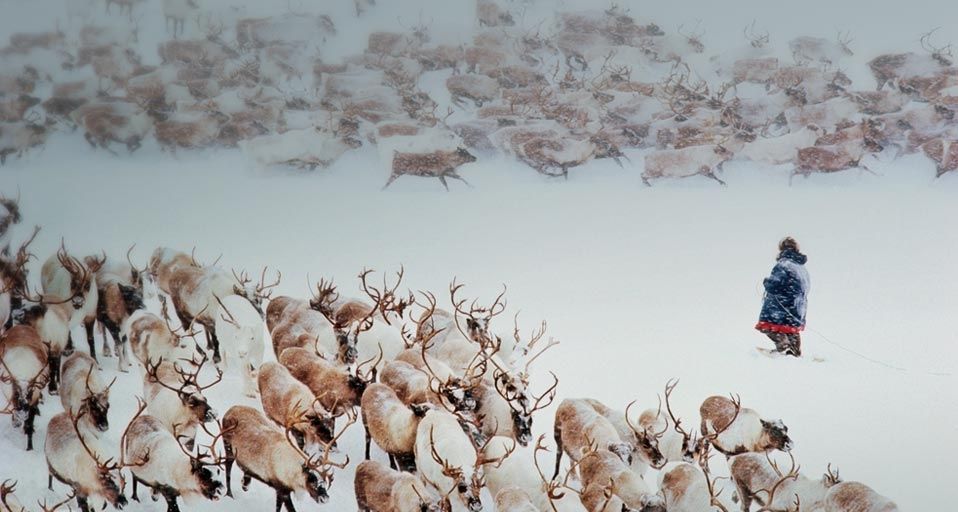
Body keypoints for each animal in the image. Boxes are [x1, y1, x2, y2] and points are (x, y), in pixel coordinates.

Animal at [221, 405, 352, 511]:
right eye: (312, 479)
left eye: (325, 481)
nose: (324, 498)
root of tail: (230, 410)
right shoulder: (281, 489)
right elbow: (288, 509)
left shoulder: (283, 490)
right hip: (228, 447)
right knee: (228, 467)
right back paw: (229, 494)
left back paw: (245, 484)